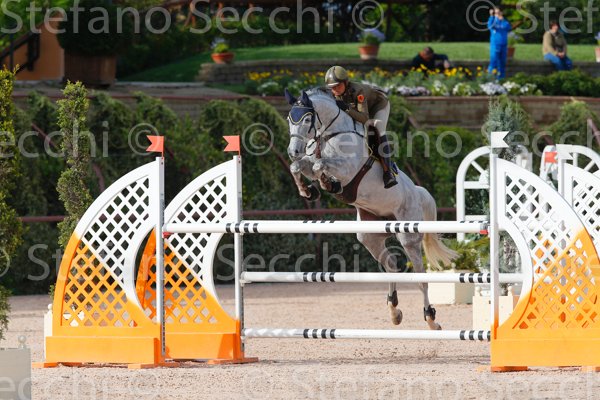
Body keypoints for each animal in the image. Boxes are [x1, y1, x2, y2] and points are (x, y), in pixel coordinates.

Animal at [285, 88, 457, 330]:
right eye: (289, 119)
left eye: (307, 119)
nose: (293, 151)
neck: (329, 135)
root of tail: (417, 192)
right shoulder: (308, 162)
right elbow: (299, 167)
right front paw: (309, 191)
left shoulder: (347, 169)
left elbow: (321, 165)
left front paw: (329, 184)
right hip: (370, 236)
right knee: (392, 265)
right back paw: (394, 311)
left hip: (408, 236)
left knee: (421, 279)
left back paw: (431, 319)